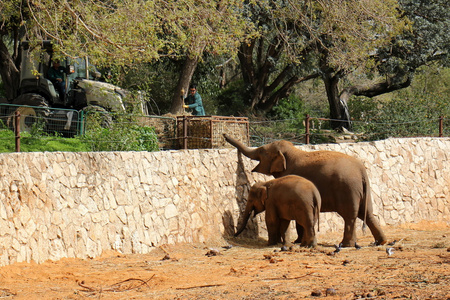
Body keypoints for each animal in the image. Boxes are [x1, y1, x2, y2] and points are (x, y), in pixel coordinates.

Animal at [225, 135, 386, 247]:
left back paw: (345, 245)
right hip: (363, 191)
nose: (224, 135)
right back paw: (380, 242)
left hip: (348, 189)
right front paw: (297, 241)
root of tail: (361, 171)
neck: (292, 151)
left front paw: (296, 241)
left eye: (261, 151)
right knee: (368, 214)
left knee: (350, 216)